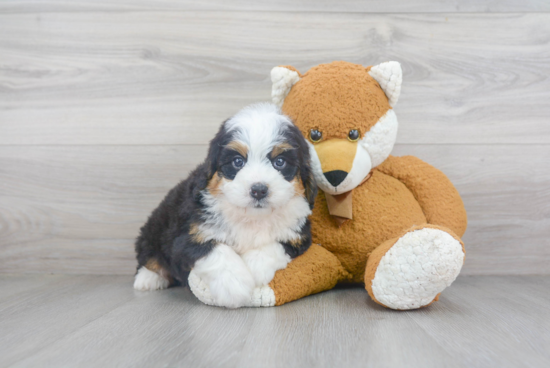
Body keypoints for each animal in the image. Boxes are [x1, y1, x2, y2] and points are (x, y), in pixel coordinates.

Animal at [134, 103, 316, 308]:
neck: (250, 217)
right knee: (147, 254)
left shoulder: (298, 235)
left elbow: (275, 246)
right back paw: (148, 279)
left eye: (280, 162)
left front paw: (253, 268)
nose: (258, 190)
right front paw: (234, 286)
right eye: (238, 162)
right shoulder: (187, 235)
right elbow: (217, 250)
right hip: (156, 226)